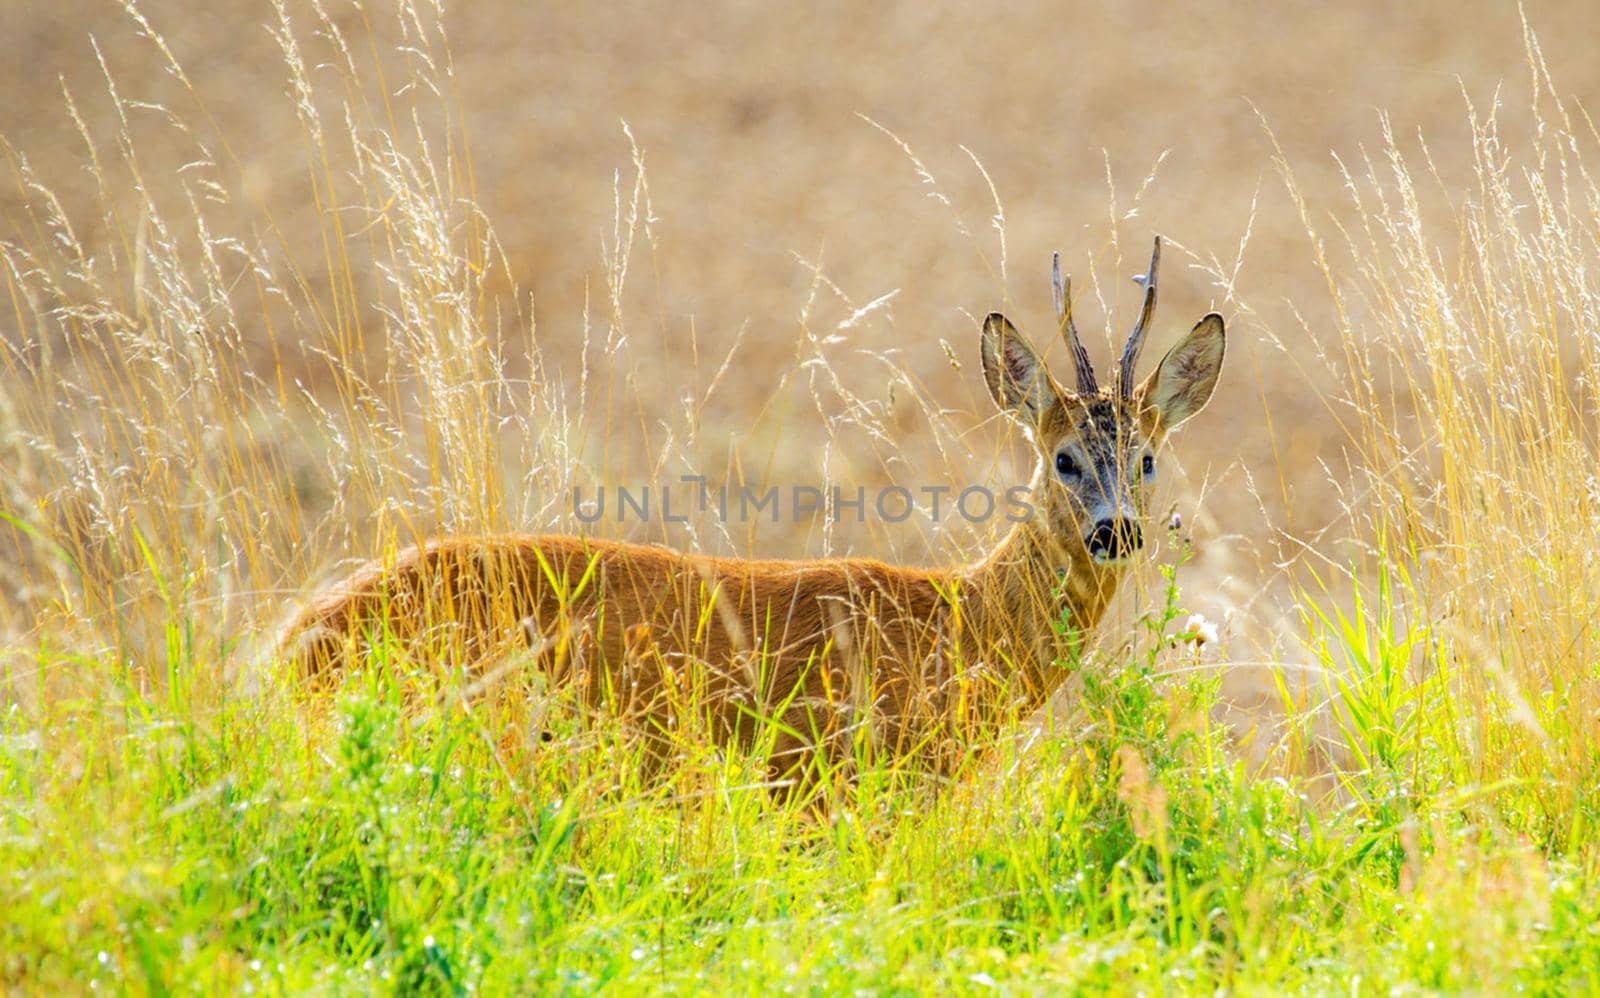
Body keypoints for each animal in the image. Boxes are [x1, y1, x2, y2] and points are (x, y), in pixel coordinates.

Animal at [281, 238, 1222, 790]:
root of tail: (290, 643)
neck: (955, 622)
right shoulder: (825, 780)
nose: (1116, 529)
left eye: (1148, 458)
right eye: (1062, 457)